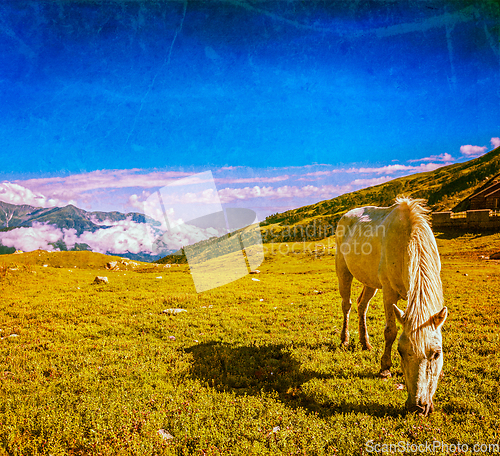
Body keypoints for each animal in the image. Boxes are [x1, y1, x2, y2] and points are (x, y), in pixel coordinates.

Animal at [336, 198, 446, 416]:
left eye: (437, 354)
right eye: (401, 352)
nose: (417, 407)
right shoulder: (388, 293)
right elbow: (390, 331)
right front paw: (385, 368)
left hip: (370, 282)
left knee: (362, 306)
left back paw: (365, 343)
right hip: (343, 271)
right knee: (347, 305)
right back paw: (345, 339)